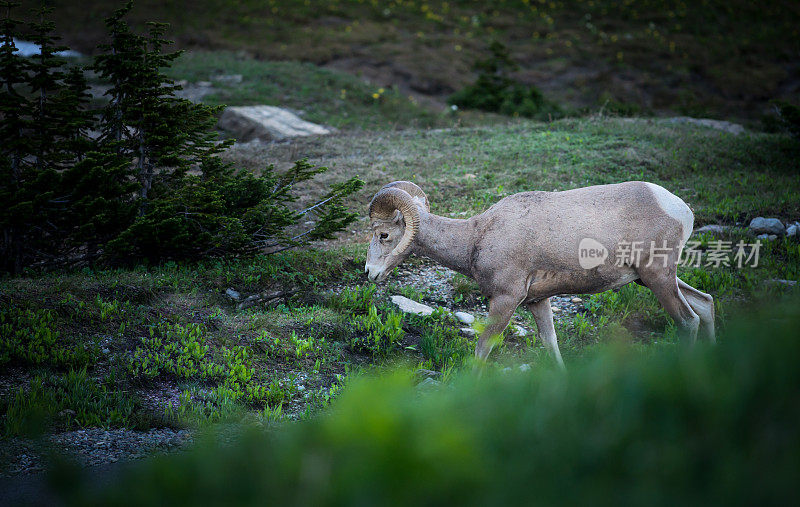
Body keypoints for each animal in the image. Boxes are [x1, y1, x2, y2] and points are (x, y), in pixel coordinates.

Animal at [366, 181, 716, 368]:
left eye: (383, 235)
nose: (370, 273)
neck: (477, 236)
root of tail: (680, 209)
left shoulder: (506, 300)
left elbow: (482, 349)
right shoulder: (538, 301)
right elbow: (551, 344)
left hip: (658, 277)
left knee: (689, 320)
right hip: (652, 279)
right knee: (706, 303)